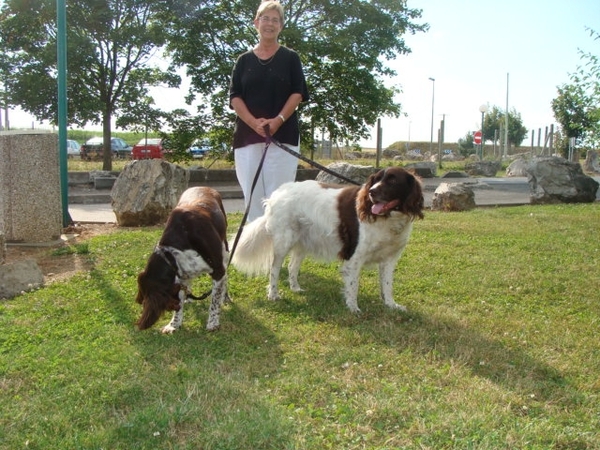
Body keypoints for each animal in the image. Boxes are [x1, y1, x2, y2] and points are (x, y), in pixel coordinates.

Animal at [136, 186, 230, 334]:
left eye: (143, 292)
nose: (138, 301)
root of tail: (204, 187)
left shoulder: (218, 270)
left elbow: (214, 300)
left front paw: (213, 322)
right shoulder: (180, 275)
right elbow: (179, 302)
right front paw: (174, 324)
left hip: (224, 249)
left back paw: (224, 297)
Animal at [230, 165, 422, 312]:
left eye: (393, 180)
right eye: (375, 180)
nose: (372, 192)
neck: (388, 219)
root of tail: (278, 192)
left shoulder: (389, 259)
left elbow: (387, 286)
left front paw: (391, 305)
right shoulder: (355, 257)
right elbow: (353, 286)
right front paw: (353, 308)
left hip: (303, 242)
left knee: (292, 267)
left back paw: (296, 288)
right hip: (284, 242)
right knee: (274, 269)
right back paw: (273, 294)